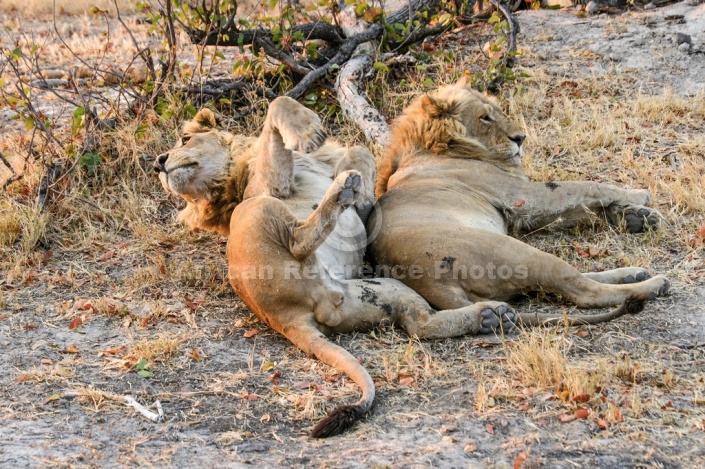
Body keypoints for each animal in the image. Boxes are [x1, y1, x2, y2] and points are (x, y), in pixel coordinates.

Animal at [368, 78, 672, 326]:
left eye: (499, 112)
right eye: (485, 118)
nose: (521, 138)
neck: (436, 146)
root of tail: (426, 281)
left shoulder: (520, 213)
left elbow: (578, 207)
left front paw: (636, 215)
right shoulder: (520, 196)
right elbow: (582, 187)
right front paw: (639, 194)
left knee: (583, 278)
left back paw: (634, 273)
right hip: (517, 252)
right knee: (584, 291)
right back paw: (652, 285)